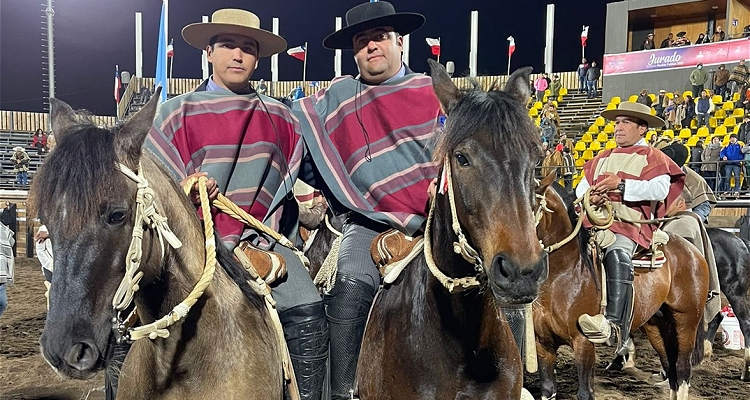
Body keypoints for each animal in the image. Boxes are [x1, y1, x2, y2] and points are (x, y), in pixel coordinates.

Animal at [536, 184, 712, 400]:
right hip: (658, 326)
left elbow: (585, 392)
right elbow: (547, 389)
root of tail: (692, 251)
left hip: (686, 322)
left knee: (682, 370)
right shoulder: (543, 343)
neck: (564, 272)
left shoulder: (583, 343)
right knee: (671, 368)